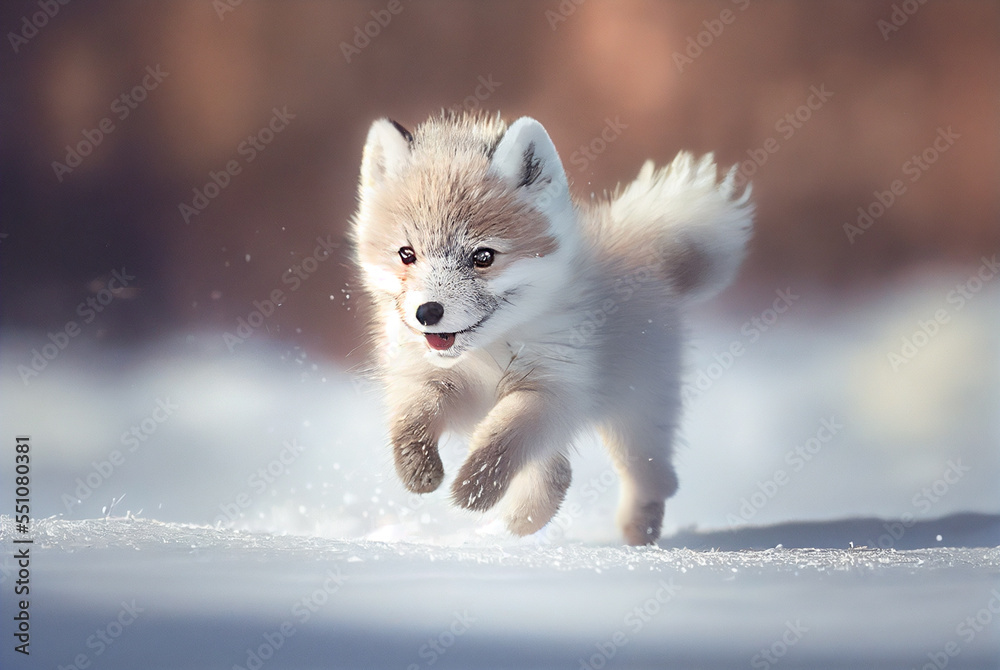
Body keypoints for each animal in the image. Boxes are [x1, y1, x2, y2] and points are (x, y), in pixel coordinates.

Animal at [352, 114, 752, 544]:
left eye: (483, 257)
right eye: (406, 254)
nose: (427, 312)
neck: (488, 355)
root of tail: (647, 253)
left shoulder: (549, 391)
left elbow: (500, 440)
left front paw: (474, 490)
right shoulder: (435, 381)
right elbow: (412, 421)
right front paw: (420, 471)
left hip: (635, 423)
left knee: (654, 479)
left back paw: (636, 535)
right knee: (561, 472)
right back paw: (525, 520)